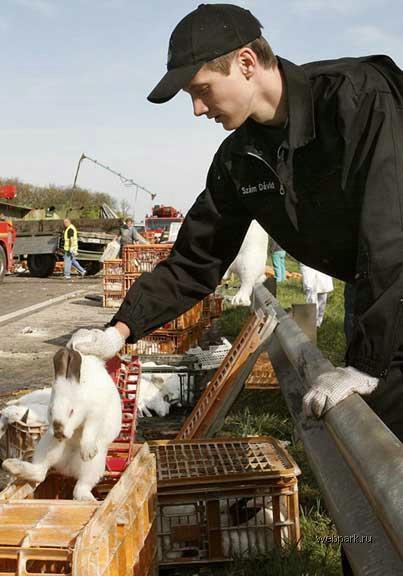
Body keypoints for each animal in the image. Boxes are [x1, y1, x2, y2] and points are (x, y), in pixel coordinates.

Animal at [1, 346, 121, 500]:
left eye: (71, 411)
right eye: (50, 411)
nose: (59, 432)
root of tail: (67, 469)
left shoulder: (95, 415)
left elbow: (89, 431)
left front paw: (87, 452)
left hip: (94, 465)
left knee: (80, 487)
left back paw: (87, 498)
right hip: (47, 447)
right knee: (40, 472)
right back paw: (10, 465)